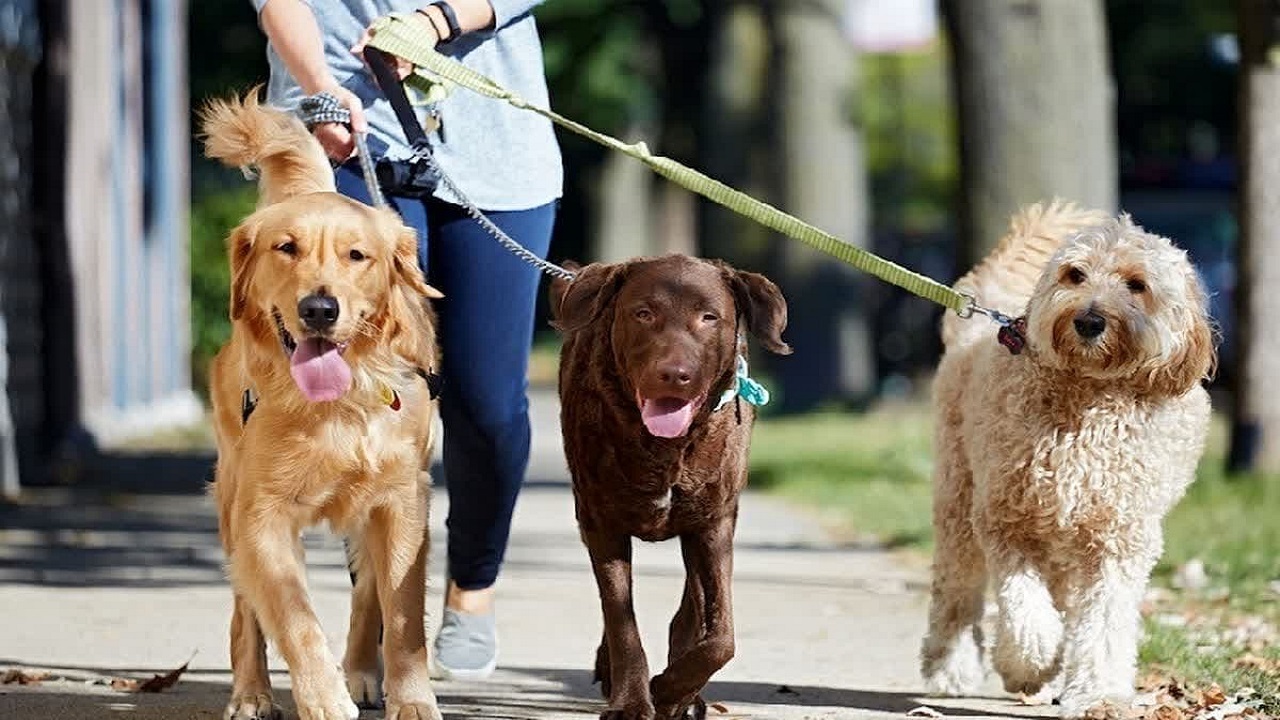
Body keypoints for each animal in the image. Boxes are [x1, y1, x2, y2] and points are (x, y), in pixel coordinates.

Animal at [921, 198, 1208, 712]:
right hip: (960, 500)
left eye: (1137, 284)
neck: (1088, 395)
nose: (1089, 320)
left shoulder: (1118, 542)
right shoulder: (1005, 523)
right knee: (957, 591)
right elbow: (1026, 614)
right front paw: (1028, 666)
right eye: (1075, 274)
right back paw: (951, 668)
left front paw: (1098, 695)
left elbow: (1105, 625)